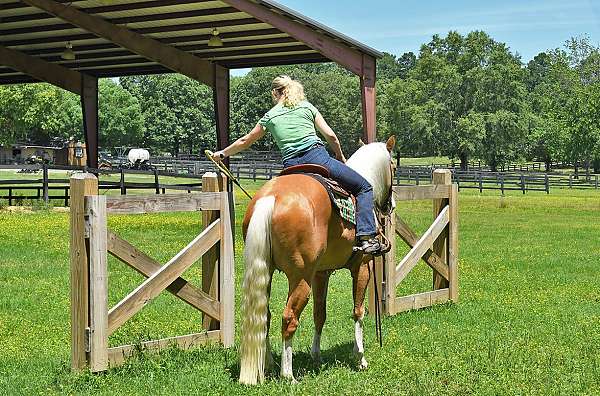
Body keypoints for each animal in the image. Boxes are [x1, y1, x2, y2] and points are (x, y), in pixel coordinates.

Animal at [239, 136, 398, 384]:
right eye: (394, 167)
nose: (391, 204)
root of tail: (271, 197)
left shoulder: (321, 274)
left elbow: (319, 314)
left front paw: (316, 355)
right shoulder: (362, 267)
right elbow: (358, 311)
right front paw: (360, 357)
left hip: (267, 272)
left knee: (264, 315)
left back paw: (268, 364)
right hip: (300, 278)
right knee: (289, 318)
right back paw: (288, 374)